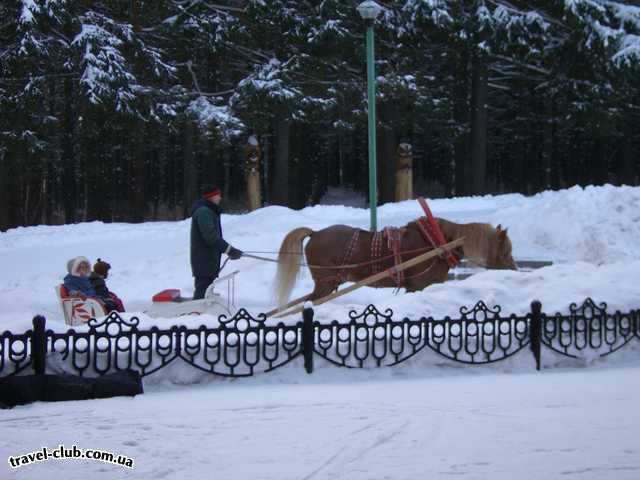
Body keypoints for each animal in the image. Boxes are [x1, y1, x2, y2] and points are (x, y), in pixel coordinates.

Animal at [274, 217, 516, 306]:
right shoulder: (418, 286)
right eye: (505, 250)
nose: (515, 269)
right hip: (325, 283)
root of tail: (315, 233)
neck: (437, 243)